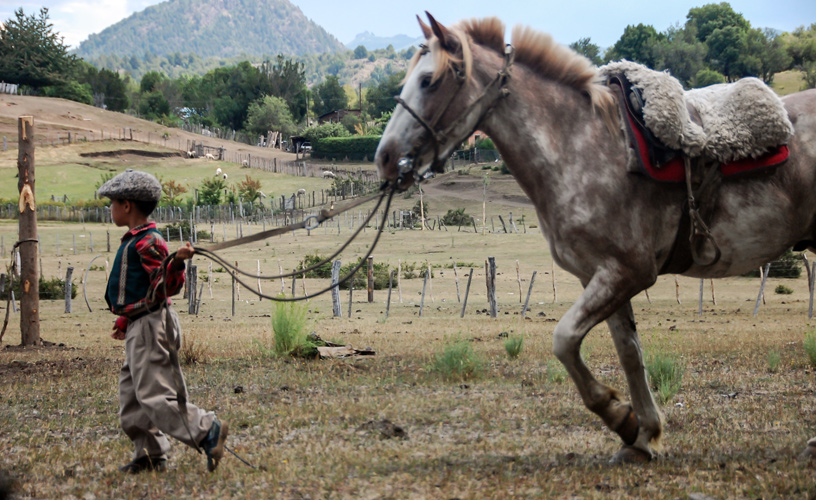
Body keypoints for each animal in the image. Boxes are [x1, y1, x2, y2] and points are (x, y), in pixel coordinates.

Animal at [375, 13, 816, 463]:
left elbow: (565, 340)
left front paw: (619, 416)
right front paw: (643, 434)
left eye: (428, 81)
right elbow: (629, 353)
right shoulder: (602, 276)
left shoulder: (627, 272)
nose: (385, 158)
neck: (581, 148)